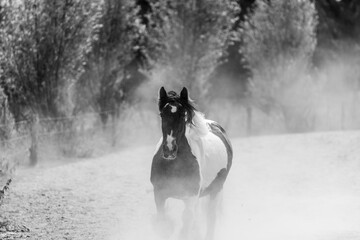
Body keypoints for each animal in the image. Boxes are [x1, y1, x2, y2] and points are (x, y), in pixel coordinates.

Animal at [150, 87, 232, 239]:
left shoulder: (191, 196)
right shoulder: (159, 194)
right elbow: (163, 224)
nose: (170, 149)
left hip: (215, 190)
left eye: (183, 115)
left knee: (210, 218)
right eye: (162, 114)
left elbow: (186, 226)